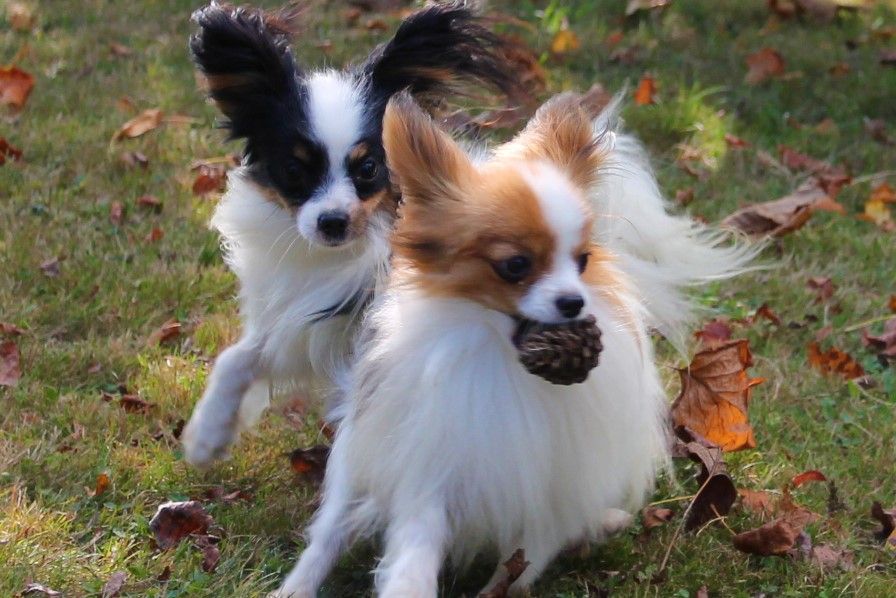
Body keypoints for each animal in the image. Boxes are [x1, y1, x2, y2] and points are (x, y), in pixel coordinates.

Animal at [180, 2, 520, 466]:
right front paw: (206, 435)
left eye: (368, 168)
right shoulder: (303, 324)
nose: (333, 221)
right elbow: (238, 358)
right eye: (294, 170)